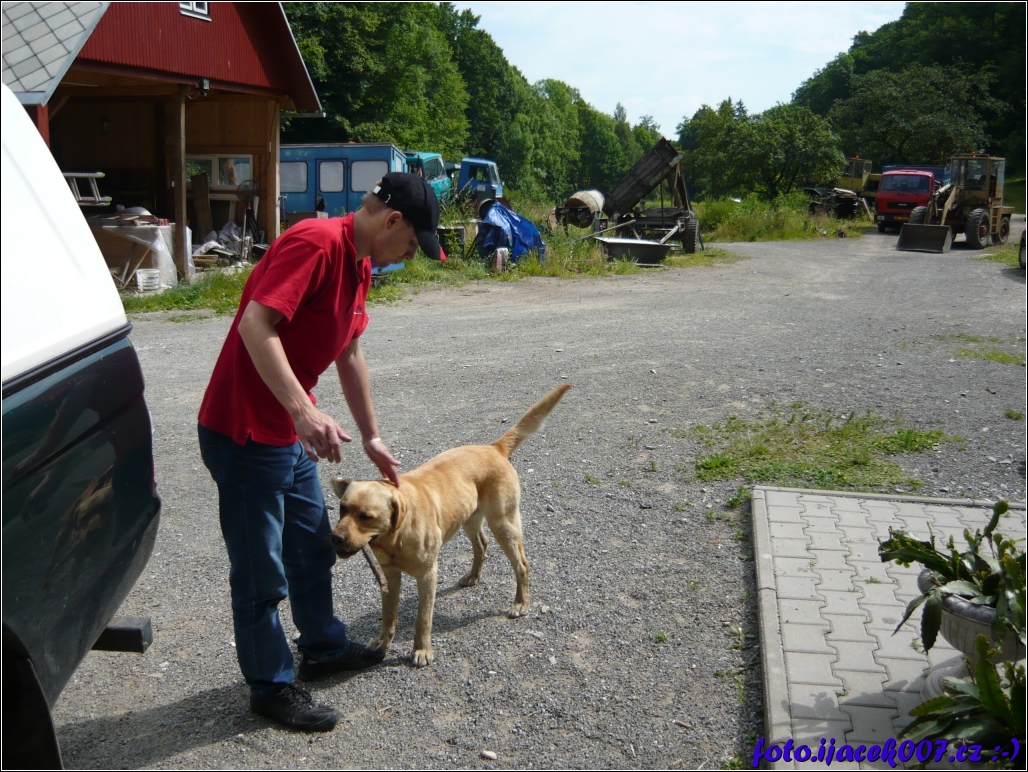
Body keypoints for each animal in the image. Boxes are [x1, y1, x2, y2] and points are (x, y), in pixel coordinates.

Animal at [331, 384, 571, 667]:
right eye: (342, 509)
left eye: (366, 516)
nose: (335, 537)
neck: (395, 536)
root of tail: (494, 448)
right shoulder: (389, 575)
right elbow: (389, 615)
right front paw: (382, 642)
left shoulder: (427, 575)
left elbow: (423, 618)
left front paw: (422, 650)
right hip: (468, 518)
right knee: (481, 545)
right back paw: (473, 576)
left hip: (503, 523)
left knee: (522, 564)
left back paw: (521, 603)